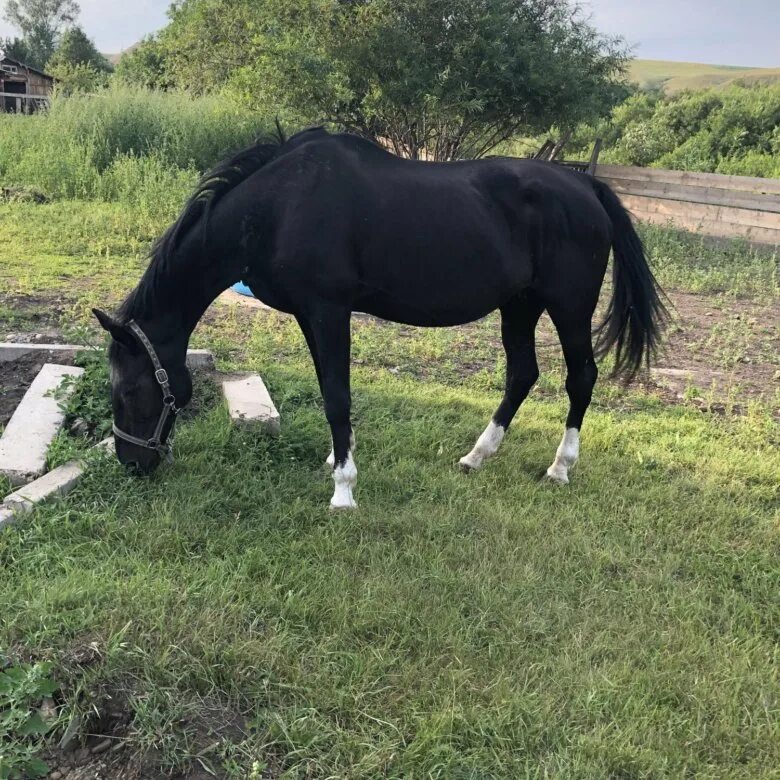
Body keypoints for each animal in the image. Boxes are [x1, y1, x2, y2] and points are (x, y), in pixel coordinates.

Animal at [91, 125, 664, 508]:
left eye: (131, 392)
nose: (132, 464)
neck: (279, 207)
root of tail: (585, 188)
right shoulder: (310, 315)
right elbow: (330, 390)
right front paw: (337, 458)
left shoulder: (329, 311)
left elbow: (337, 395)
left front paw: (343, 490)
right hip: (519, 305)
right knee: (522, 373)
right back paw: (476, 456)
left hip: (568, 306)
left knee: (580, 377)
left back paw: (559, 468)